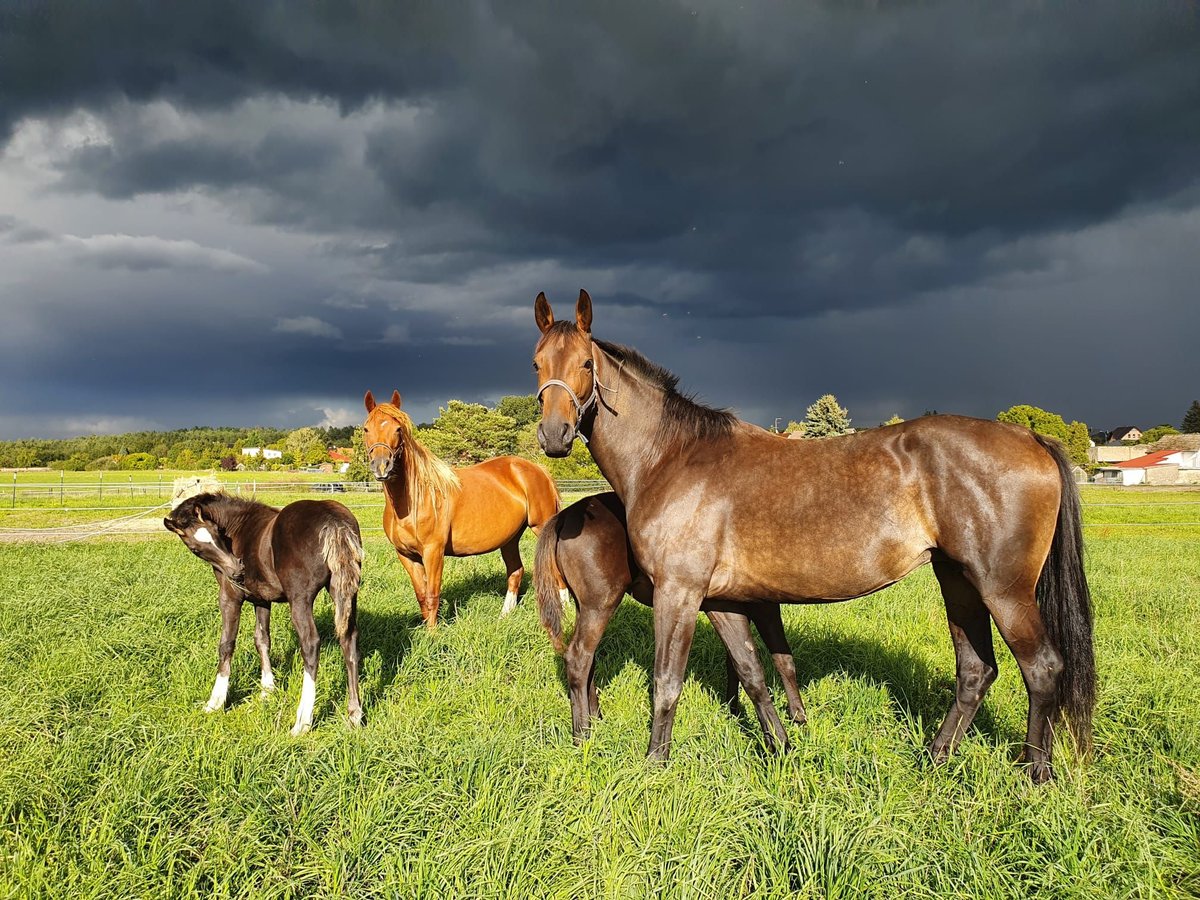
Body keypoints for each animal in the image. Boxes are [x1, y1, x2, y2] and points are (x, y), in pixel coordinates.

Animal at [163, 494, 364, 739]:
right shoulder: (261, 600)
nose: (237, 570)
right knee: (349, 639)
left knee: (310, 644)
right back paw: (354, 715)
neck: (239, 527)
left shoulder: (230, 597)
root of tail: (333, 520)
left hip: (300, 598)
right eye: (195, 548)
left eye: (216, 532)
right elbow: (262, 640)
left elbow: (226, 644)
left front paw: (215, 701)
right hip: (345, 592)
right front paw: (267, 690)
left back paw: (302, 722)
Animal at [362, 391, 559, 628]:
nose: (382, 466)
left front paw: (433, 633)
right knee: (515, 571)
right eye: (366, 428)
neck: (413, 502)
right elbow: (421, 595)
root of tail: (538, 469)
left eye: (398, 428)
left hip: (542, 527)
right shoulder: (406, 555)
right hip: (510, 539)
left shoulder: (433, 552)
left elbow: (432, 595)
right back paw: (504, 616)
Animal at [535, 494, 806, 748]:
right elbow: (781, 659)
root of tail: (566, 516)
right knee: (578, 657)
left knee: (587, 658)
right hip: (599, 605)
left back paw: (596, 718)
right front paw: (798, 716)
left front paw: (734, 707)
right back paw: (583, 735)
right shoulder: (763, 608)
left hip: (586, 607)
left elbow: (738, 660)